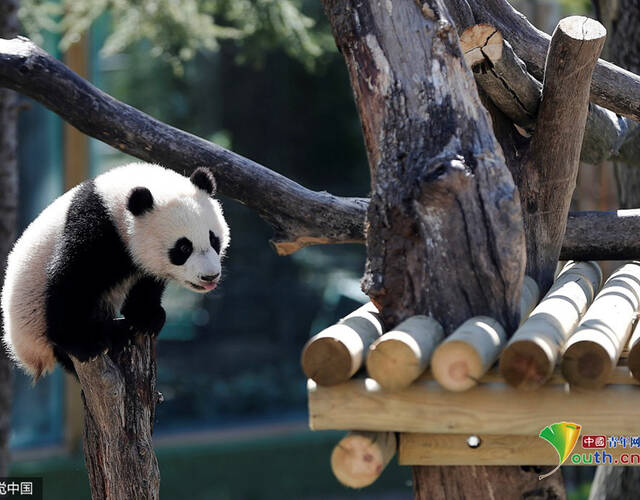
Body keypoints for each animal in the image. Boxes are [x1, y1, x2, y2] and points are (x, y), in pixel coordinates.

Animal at [0, 163, 230, 378]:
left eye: (213, 240)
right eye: (183, 248)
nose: (210, 276)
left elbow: (146, 281)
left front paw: (146, 318)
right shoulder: (95, 228)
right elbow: (72, 280)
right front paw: (83, 343)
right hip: (32, 321)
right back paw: (110, 334)